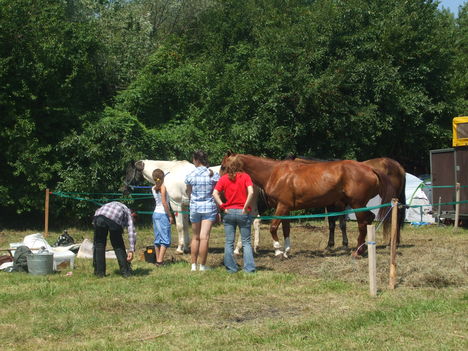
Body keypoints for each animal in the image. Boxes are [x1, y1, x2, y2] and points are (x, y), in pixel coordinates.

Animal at [124, 161, 262, 254]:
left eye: (129, 171)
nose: (124, 188)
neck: (170, 172)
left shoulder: (176, 204)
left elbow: (179, 226)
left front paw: (180, 248)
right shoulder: (184, 205)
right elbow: (185, 226)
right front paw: (186, 247)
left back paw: (237, 250)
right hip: (252, 204)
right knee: (256, 221)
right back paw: (254, 247)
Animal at [221, 153, 396, 258]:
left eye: (223, 166)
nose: (220, 184)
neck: (274, 173)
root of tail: (370, 169)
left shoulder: (281, 207)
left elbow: (273, 228)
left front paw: (278, 250)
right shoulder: (286, 208)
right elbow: (286, 230)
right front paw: (286, 251)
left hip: (357, 204)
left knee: (362, 224)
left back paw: (358, 251)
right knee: (368, 219)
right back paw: (364, 248)